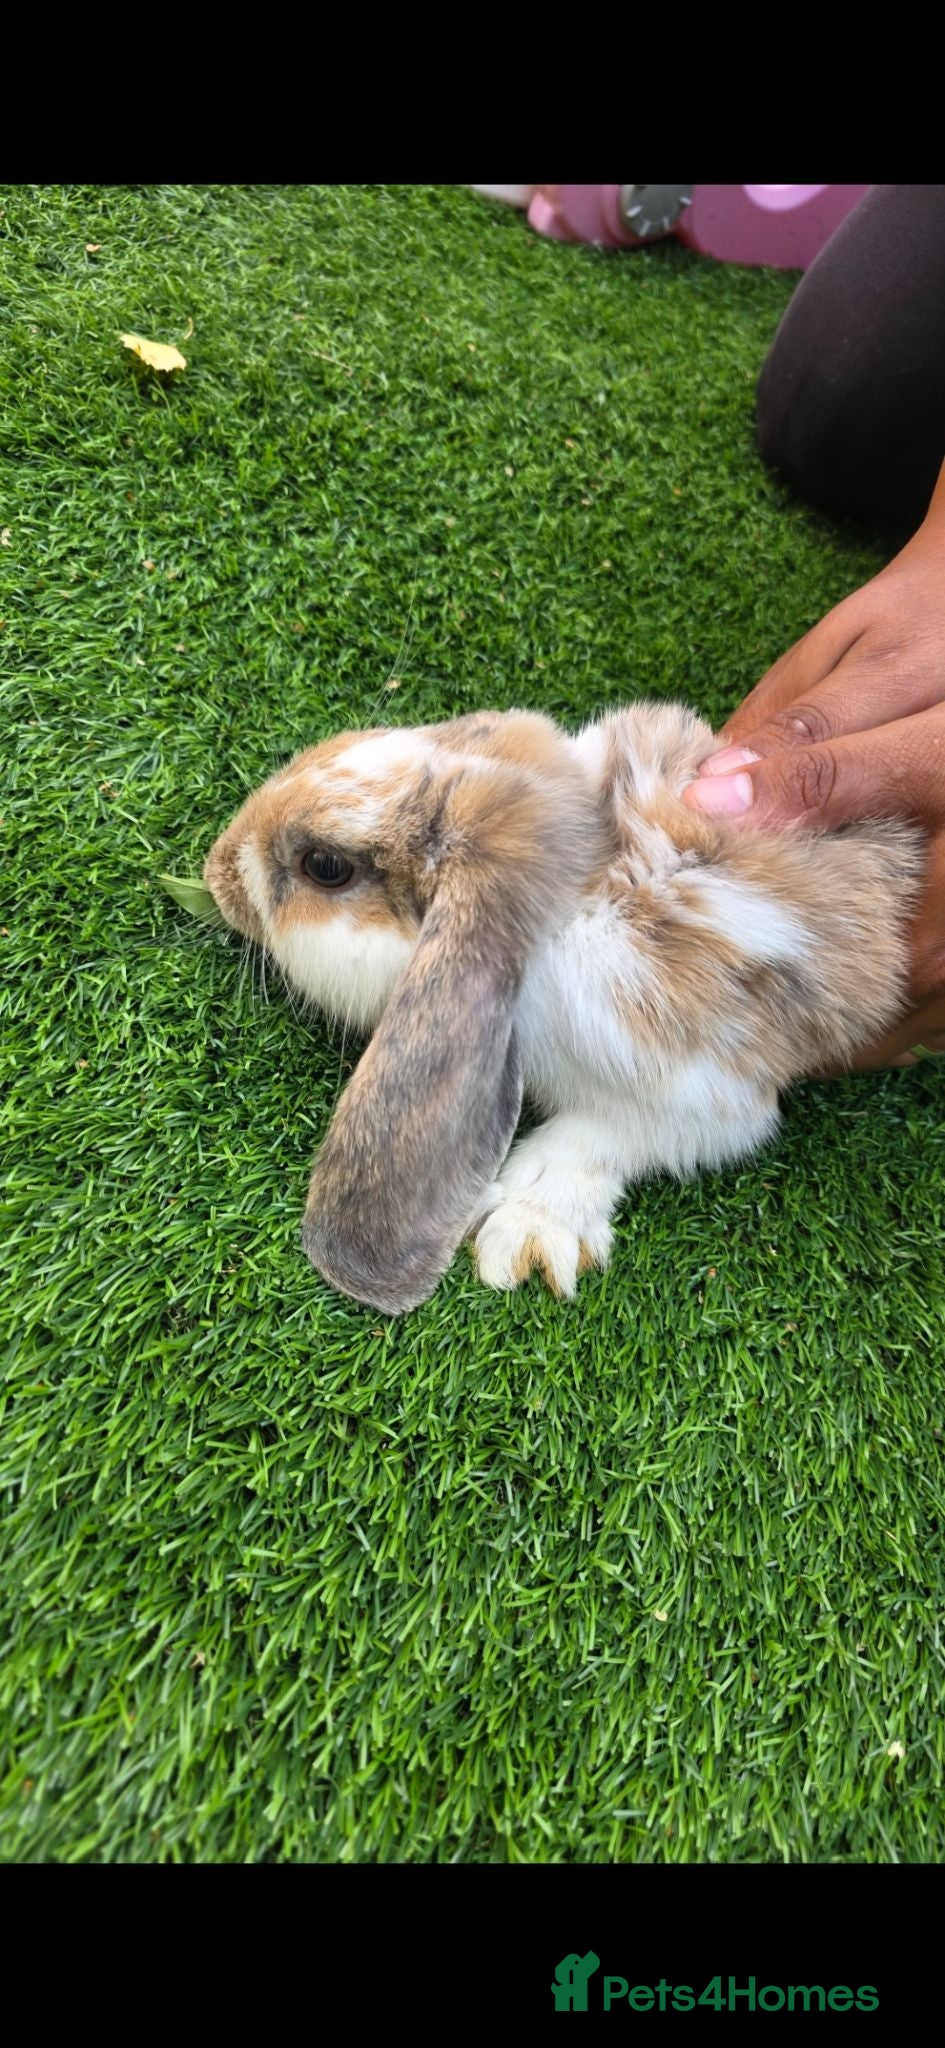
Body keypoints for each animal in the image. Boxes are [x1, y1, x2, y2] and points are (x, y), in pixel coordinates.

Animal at [203, 702, 922, 1314]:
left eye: (324, 866)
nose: (214, 870)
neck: (583, 882)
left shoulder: (706, 1092)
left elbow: (606, 1136)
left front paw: (520, 1233)